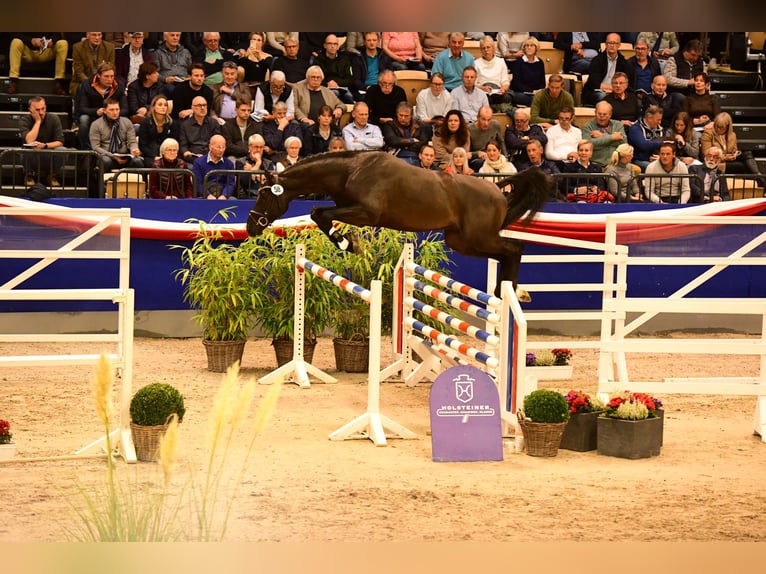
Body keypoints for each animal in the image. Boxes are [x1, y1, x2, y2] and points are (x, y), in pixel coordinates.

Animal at [246, 150, 553, 298]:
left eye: (264, 195)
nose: (251, 227)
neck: (350, 171)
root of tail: (498, 191)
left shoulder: (366, 213)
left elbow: (318, 212)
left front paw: (349, 244)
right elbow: (318, 214)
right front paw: (347, 243)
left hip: (478, 238)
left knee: (514, 249)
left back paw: (512, 292)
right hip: (463, 241)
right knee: (506, 253)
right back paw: (508, 292)